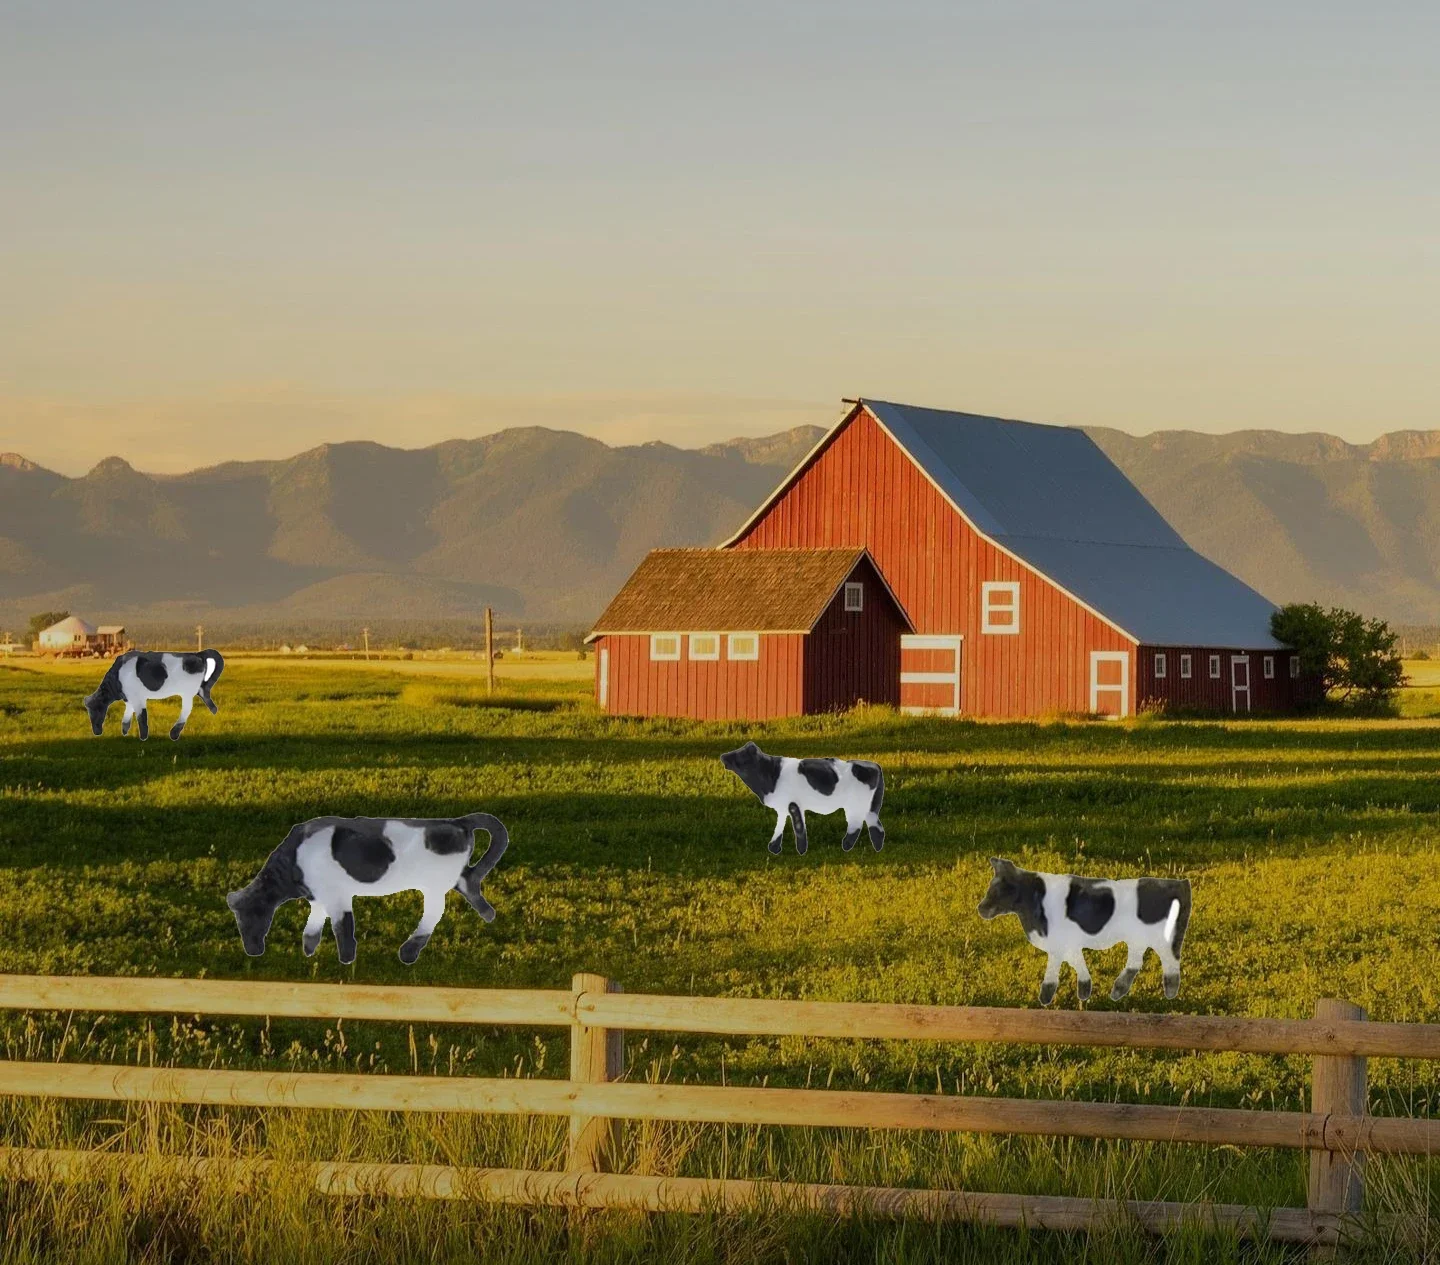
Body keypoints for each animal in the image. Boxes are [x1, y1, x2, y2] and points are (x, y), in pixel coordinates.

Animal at [84, 654, 223, 743]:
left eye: (96, 710)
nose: (96, 732)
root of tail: (198, 655)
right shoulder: (129, 698)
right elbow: (127, 714)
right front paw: (124, 732)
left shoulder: (138, 698)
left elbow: (141, 716)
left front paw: (143, 737)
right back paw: (214, 712)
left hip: (186, 692)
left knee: (187, 709)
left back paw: (174, 733)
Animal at [224, 812, 512, 968]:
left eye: (248, 918)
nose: (252, 950)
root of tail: (458, 822)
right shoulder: (318, 896)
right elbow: (312, 925)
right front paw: (308, 952)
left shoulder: (337, 895)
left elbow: (342, 926)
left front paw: (346, 960)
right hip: (450, 879)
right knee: (467, 886)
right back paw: (488, 916)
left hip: (433, 883)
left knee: (434, 912)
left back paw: (408, 952)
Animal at [717, 737, 881, 858]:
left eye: (739, 755)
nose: (723, 756)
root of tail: (874, 765)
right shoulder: (782, 806)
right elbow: (780, 825)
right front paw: (774, 848)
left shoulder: (793, 804)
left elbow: (798, 827)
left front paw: (801, 852)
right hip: (867, 807)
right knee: (875, 825)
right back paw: (876, 848)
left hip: (856, 804)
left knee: (857, 825)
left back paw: (846, 846)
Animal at [979, 864, 1192, 1008]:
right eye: (990, 886)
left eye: (1002, 888)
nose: (980, 908)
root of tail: (1179, 883)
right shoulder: (1068, 944)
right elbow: (1076, 963)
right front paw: (1083, 993)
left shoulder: (1058, 942)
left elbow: (1055, 970)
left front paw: (1046, 998)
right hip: (1139, 939)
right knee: (1139, 961)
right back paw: (1119, 992)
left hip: (1158, 936)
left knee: (1166, 960)